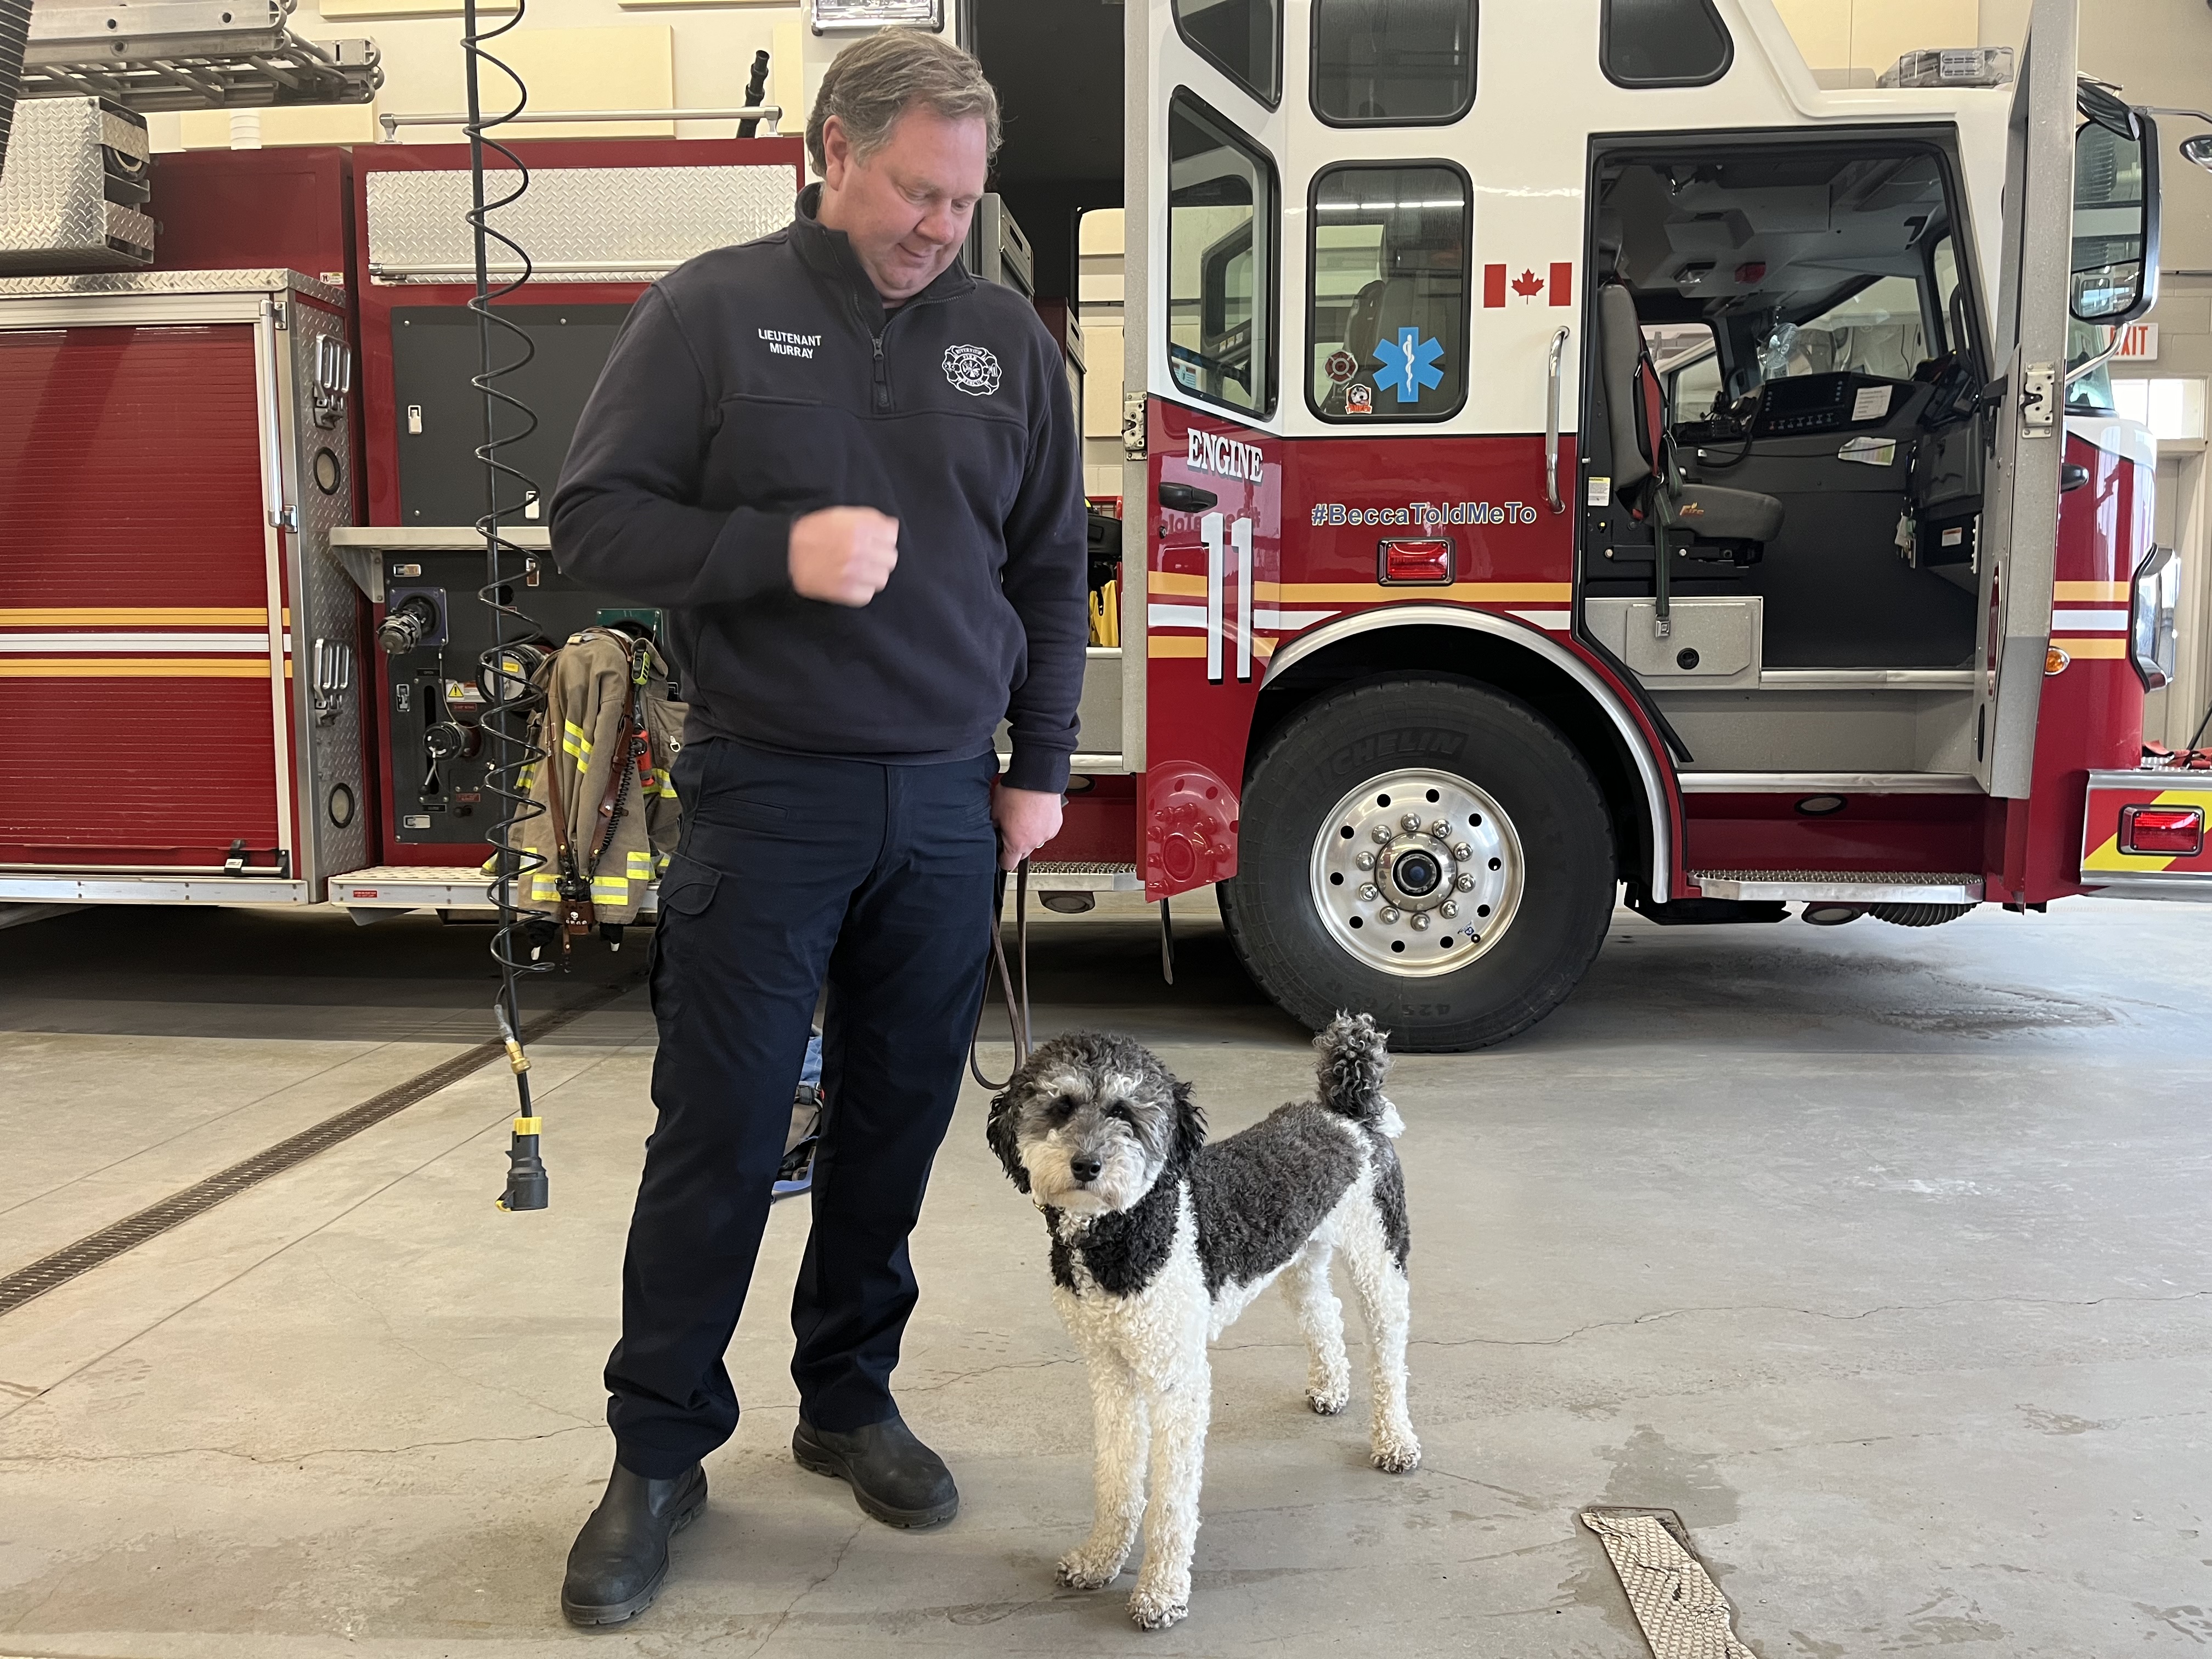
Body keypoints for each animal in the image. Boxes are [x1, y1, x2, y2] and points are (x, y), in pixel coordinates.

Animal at [991, 1013, 1415, 1637]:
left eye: (1124, 1110)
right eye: (1060, 1106)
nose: (1086, 1166)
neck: (1130, 1229)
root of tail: (1345, 1110)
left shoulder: (1177, 1383)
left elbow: (1170, 1502)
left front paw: (1161, 1593)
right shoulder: (1111, 1372)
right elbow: (1117, 1478)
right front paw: (1099, 1560)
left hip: (1379, 1261)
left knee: (1388, 1356)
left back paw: (1396, 1441)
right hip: (1300, 1259)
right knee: (1325, 1315)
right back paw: (1331, 1388)